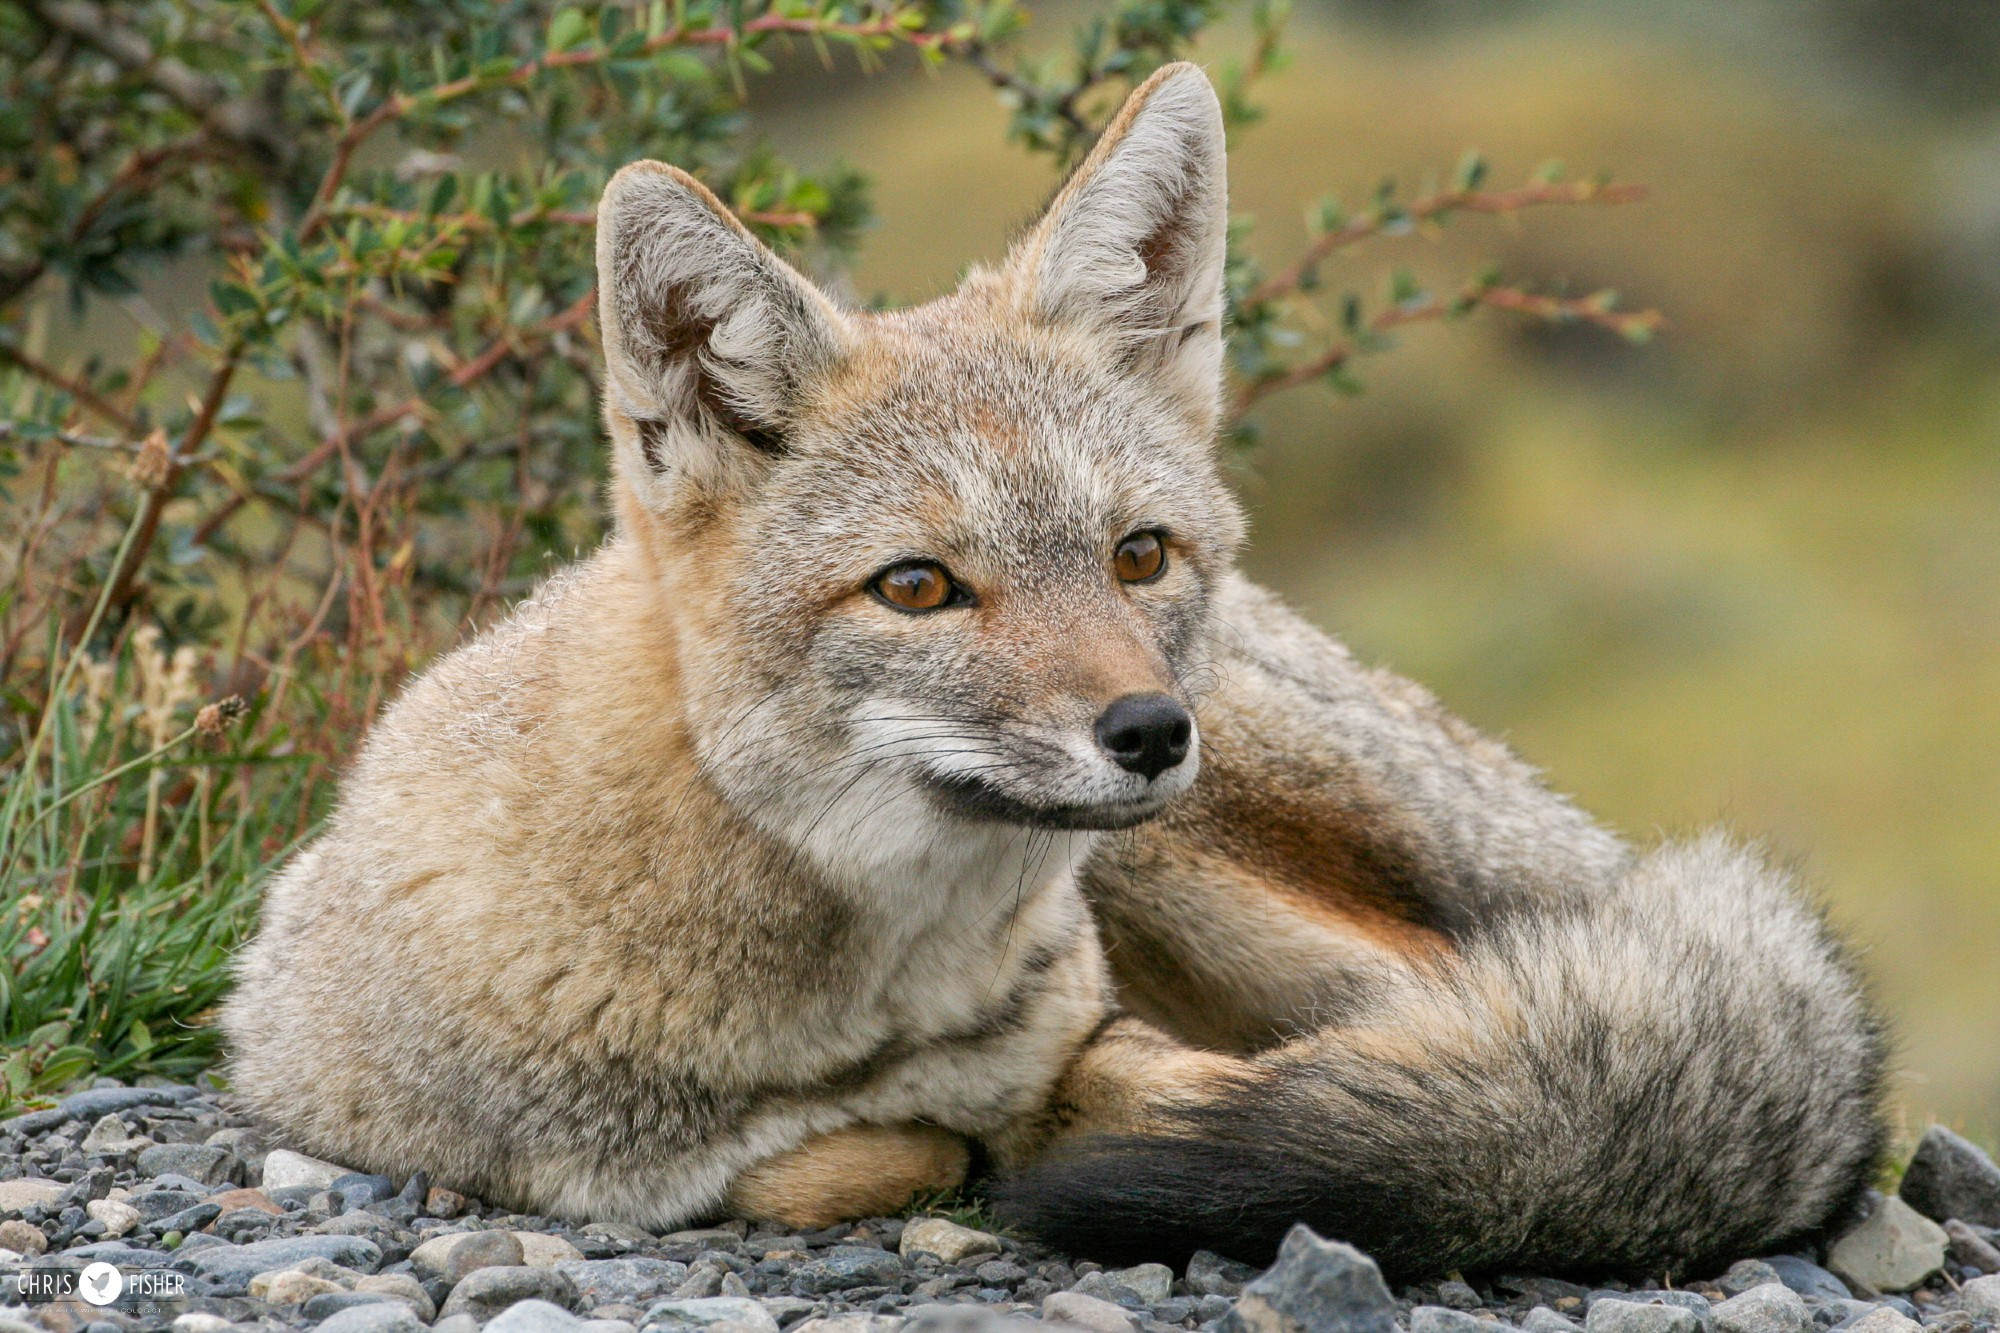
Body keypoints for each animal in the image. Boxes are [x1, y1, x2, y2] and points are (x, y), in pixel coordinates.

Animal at [223, 62, 1888, 1280]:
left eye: (1137, 556)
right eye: (918, 587)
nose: (1151, 731)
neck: (849, 1009)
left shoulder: (1100, 1024)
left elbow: (1080, 1101)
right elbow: (844, 1158)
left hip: (1221, 868)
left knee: (1491, 1035)